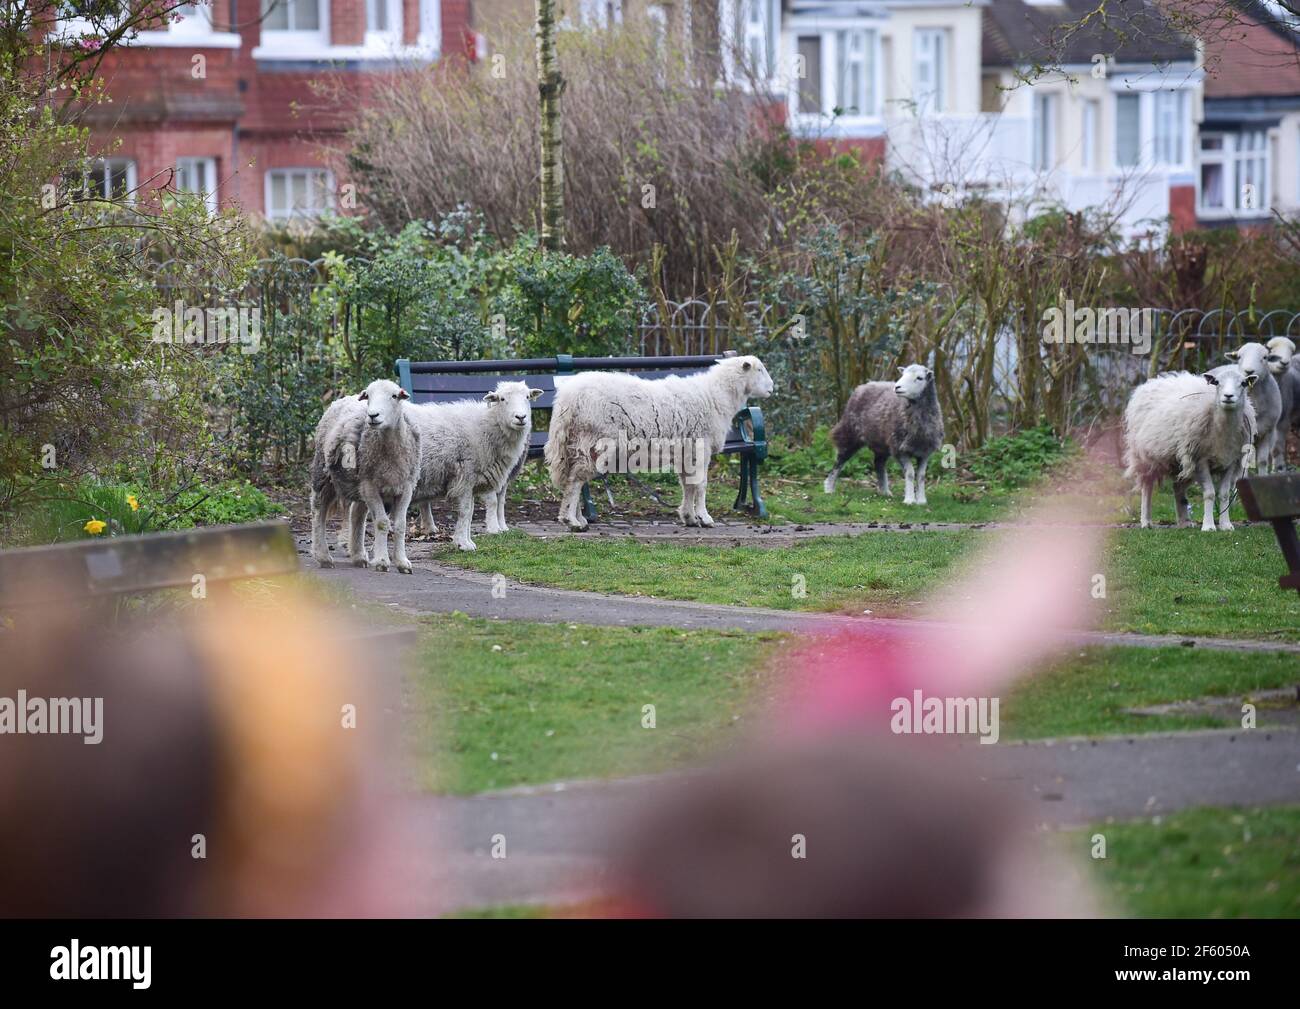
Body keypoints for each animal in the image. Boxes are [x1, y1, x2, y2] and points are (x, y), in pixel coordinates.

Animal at [312, 377, 418, 572]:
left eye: (394, 396)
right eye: (368, 396)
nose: (373, 415)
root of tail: (343, 398)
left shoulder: (406, 487)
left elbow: (400, 525)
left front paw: (402, 562)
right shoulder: (370, 485)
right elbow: (382, 522)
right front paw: (382, 561)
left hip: (357, 483)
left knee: (357, 514)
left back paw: (359, 556)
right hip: (325, 473)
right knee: (318, 511)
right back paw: (323, 556)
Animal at [540, 353, 769, 527]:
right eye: (759, 370)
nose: (771, 388)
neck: (716, 395)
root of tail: (567, 398)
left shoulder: (686, 452)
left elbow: (688, 484)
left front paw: (689, 517)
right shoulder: (700, 447)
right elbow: (701, 484)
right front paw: (704, 517)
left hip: (576, 443)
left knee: (573, 478)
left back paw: (575, 517)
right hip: (594, 440)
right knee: (577, 478)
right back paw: (571, 520)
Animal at [821, 361, 946, 504]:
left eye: (919, 378)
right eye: (903, 374)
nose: (897, 387)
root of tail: (864, 385)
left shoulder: (925, 451)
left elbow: (921, 475)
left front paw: (921, 500)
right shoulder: (899, 449)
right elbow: (910, 473)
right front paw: (909, 500)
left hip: (881, 442)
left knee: (879, 463)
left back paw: (885, 491)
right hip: (850, 433)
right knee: (840, 460)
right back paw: (829, 487)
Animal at [1128, 364, 1258, 535]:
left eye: (1243, 383)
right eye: (1217, 382)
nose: (1228, 396)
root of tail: (1153, 381)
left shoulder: (1231, 461)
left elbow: (1224, 494)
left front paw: (1226, 525)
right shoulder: (1200, 459)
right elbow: (1209, 493)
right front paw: (1208, 526)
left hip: (1181, 461)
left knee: (1178, 487)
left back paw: (1184, 521)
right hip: (1146, 456)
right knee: (1147, 487)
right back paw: (1146, 521)